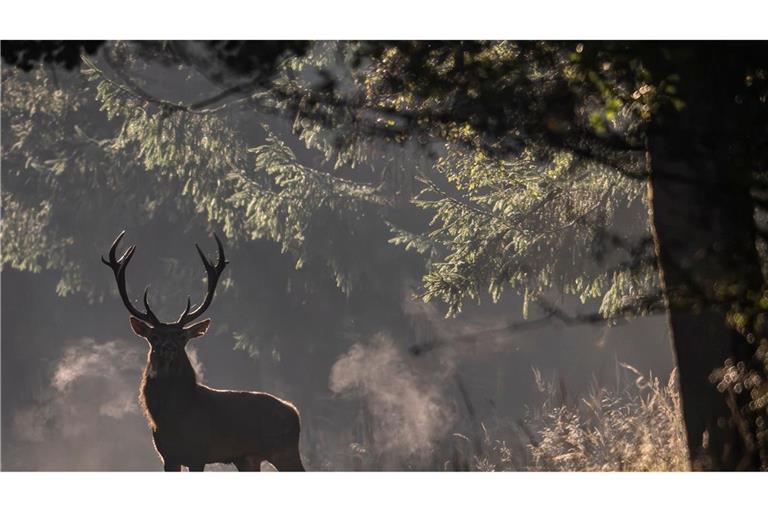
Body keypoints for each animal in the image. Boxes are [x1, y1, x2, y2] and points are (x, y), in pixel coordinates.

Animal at [102, 231, 304, 471]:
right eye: (154, 337)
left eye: (182, 337)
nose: (168, 348)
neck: (174, 418)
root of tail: (295, 413)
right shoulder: (167, 456)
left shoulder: (198, 453)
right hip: (247, 458)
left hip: (284, 450)